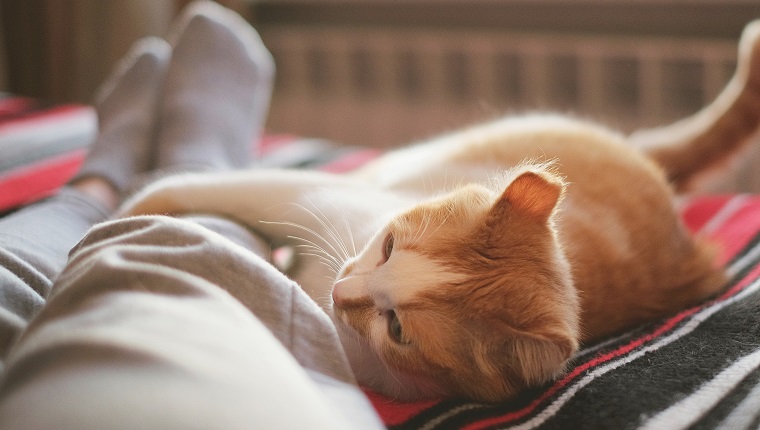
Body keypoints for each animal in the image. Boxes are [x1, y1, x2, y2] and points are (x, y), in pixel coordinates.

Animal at [117, 21, 760, 404]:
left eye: (398, 328)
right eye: (389, 246)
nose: (343, 291)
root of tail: (652, 168)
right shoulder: (299, 195)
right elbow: (181, 193)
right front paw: (130, 208)